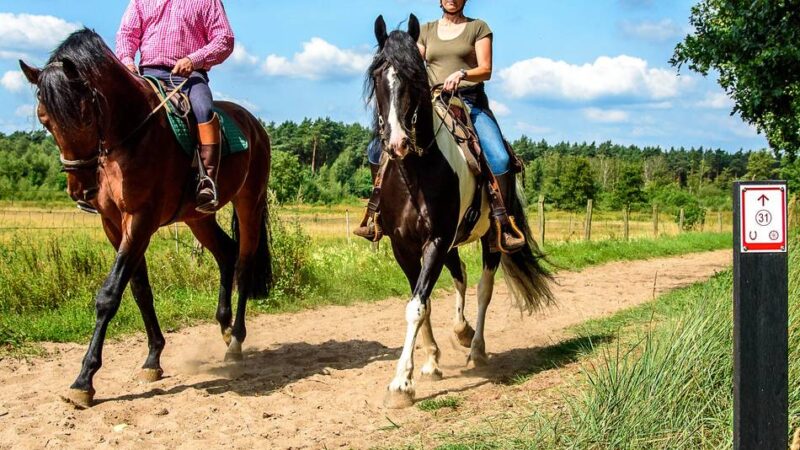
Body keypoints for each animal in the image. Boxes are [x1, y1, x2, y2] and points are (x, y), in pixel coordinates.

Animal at [18, 28, 272, 408]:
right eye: (45, 119)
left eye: (84, 117)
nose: (80, 189)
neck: (131, 135)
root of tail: (255, 126)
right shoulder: (113, 224)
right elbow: (140, 290)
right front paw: (153, 359)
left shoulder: (140, 220)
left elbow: (109, 295)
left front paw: (84, 380)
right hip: (197, 217)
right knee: (226, 253)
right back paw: (225, 328)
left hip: (249, 204)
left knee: (243, 264)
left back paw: (237, 341)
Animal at [367, 15, 554, 408]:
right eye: (377, 76)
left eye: (415, 77)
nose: (397, 143)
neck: (416, 173)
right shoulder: (404, 246)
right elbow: (420, 302)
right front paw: (429, 363)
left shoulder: (436, 240)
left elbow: (417, 306)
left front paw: (400, 385)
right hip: (452, 244)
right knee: (461, 276)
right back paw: (459, 334)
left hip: (492, 239)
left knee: (483, 287)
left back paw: (476, 347)